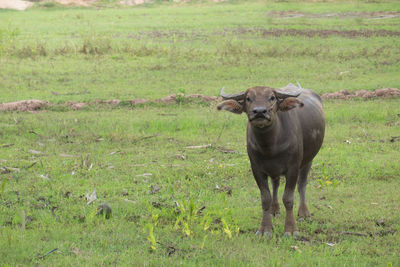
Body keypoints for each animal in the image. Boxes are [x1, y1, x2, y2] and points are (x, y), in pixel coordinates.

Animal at [219, 84, 324, 237]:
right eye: (248, 98)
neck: (270, 146)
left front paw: (291, 229)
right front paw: (265, 229)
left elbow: (288, 198)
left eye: (272, 97)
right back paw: (275, 210)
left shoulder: (293, 167)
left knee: (302, 184)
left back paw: (304, 213)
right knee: (275, 184)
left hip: (308, 159)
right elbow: (265, 198)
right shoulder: (257, 169)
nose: (259, 112)